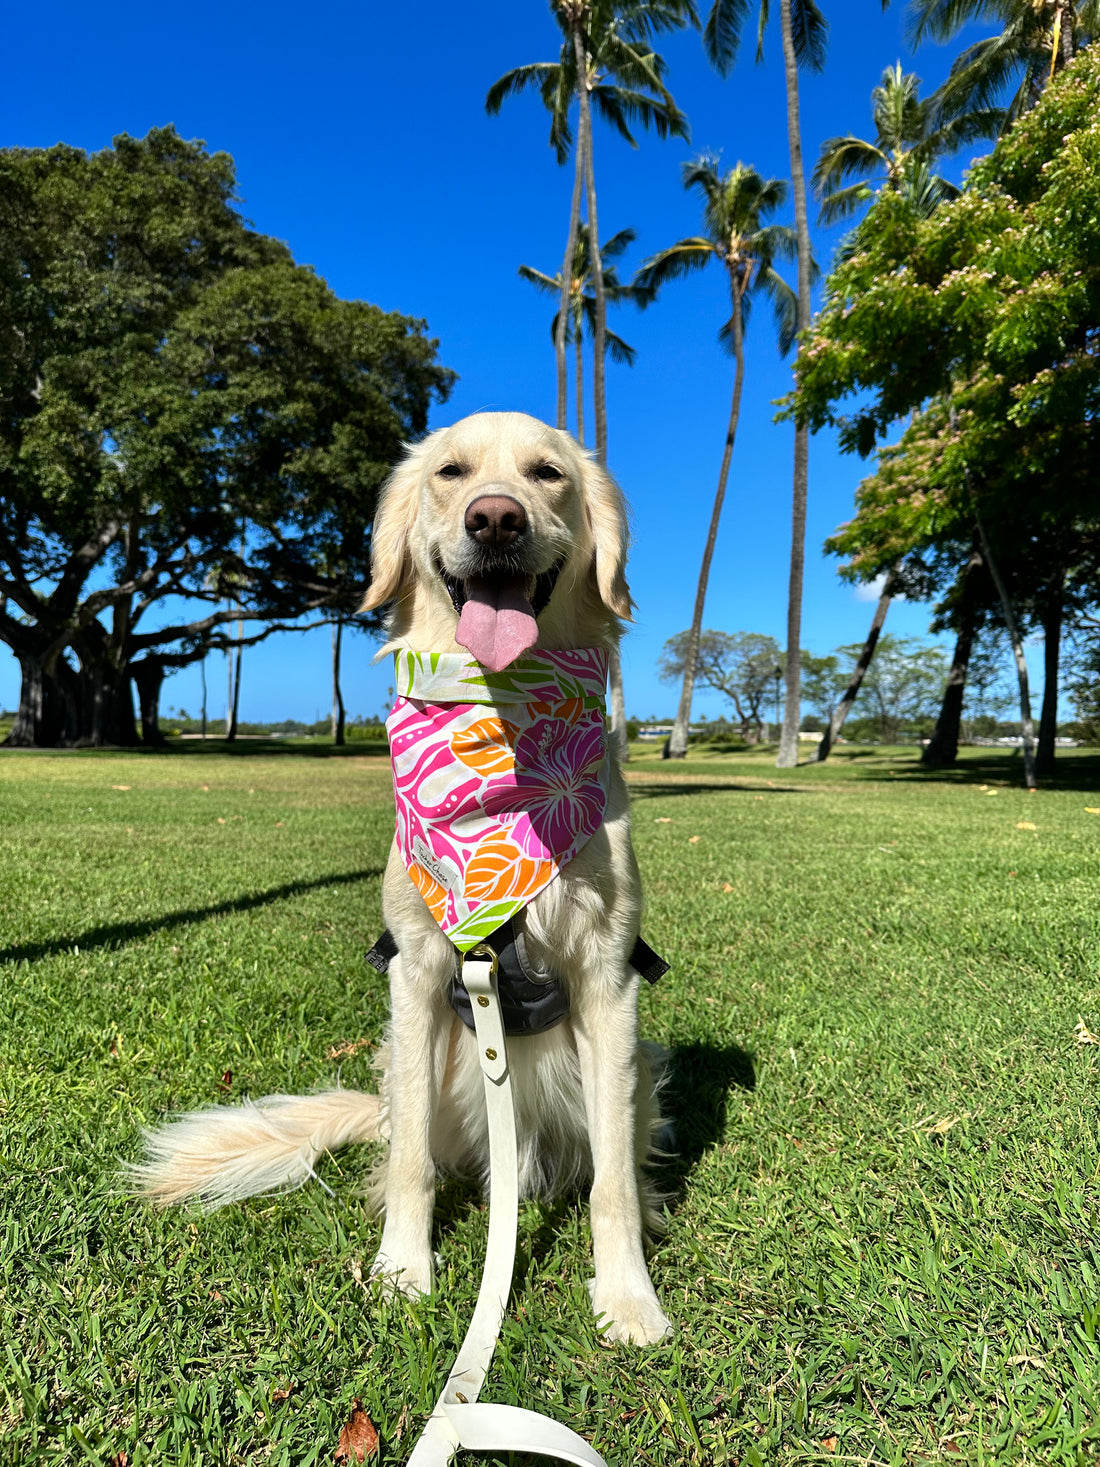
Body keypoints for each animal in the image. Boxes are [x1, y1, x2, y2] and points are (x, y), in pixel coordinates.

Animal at [135, 407, 671, 1343]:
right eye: (451, 473)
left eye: (548, 474)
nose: (496, 519)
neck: (503, 733)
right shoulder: (417, 972)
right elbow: (413, 1160)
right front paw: (401, 1270)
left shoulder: (609, 981)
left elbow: (612, 1183)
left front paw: (627, 1296)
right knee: (405, 1144)